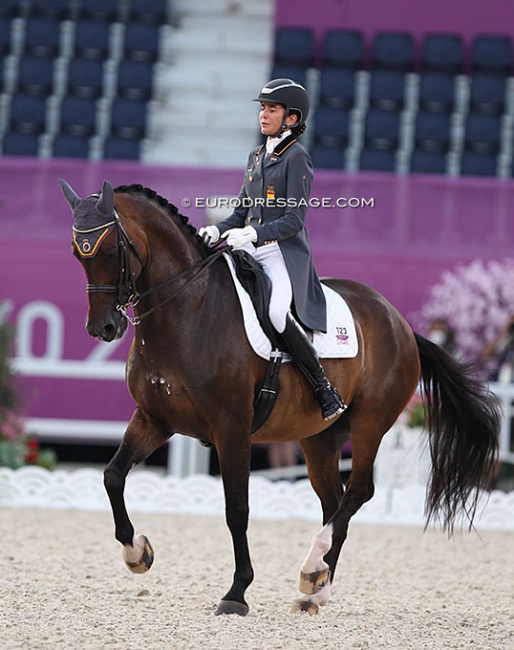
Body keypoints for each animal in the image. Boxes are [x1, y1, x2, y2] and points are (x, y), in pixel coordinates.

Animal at [59, 180, 496, 616]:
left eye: (111, 250)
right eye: (77, 253)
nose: (104, 328)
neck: (189, 309)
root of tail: (400, 322)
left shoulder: (231, 428)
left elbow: (237, 509)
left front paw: (236, 593)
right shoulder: (154, 419)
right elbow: (113, 476)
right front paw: (137, 553)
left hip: (370, 423)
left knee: (358, 492)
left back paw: (312, 566)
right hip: (320, 438)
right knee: (334, 503)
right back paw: (315, 586)